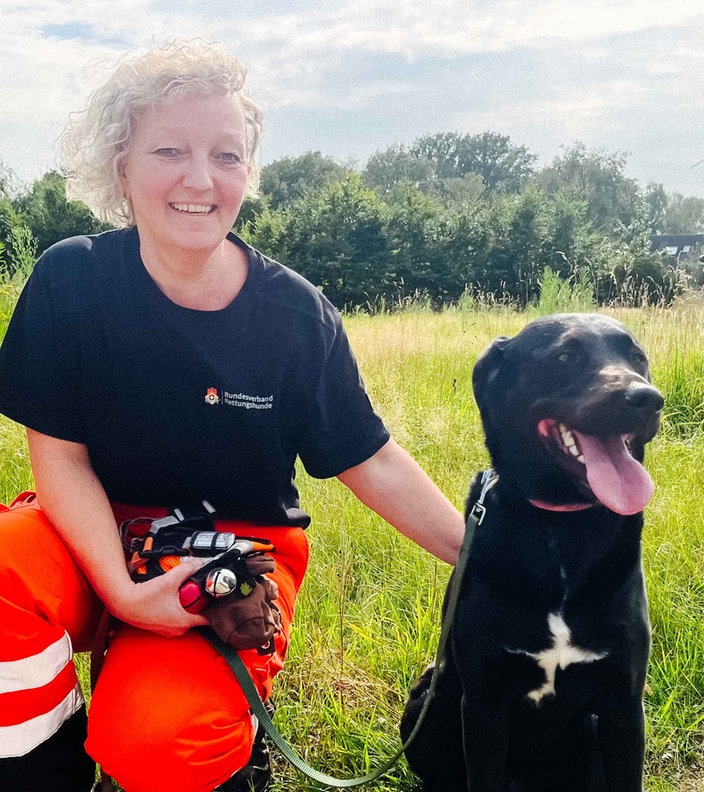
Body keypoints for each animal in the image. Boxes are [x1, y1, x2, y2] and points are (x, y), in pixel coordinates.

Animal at [404, 316, 664, 792]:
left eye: (638, 357)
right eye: (564, 356)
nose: (648, 399)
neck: (560, 527)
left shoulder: (622, 706)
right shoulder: (484, 705)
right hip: (427, 704)